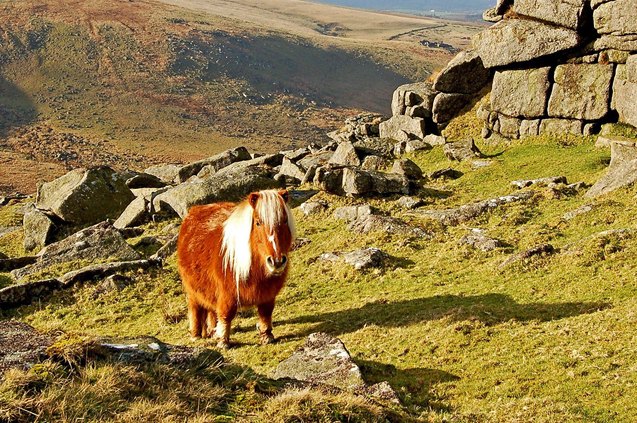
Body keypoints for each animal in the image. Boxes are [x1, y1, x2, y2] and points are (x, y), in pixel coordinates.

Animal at [176, 190, 296, 350]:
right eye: (258, 222)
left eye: (284, 221)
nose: (276, 261)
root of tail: (194, 210)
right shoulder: (227, 294)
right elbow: (226, 314)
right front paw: (223, 342)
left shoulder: (268, 295)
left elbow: (266, 313)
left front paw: (267, 337)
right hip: (192, 290)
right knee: (195, 308)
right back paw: (196, 335)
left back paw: (212, 331)